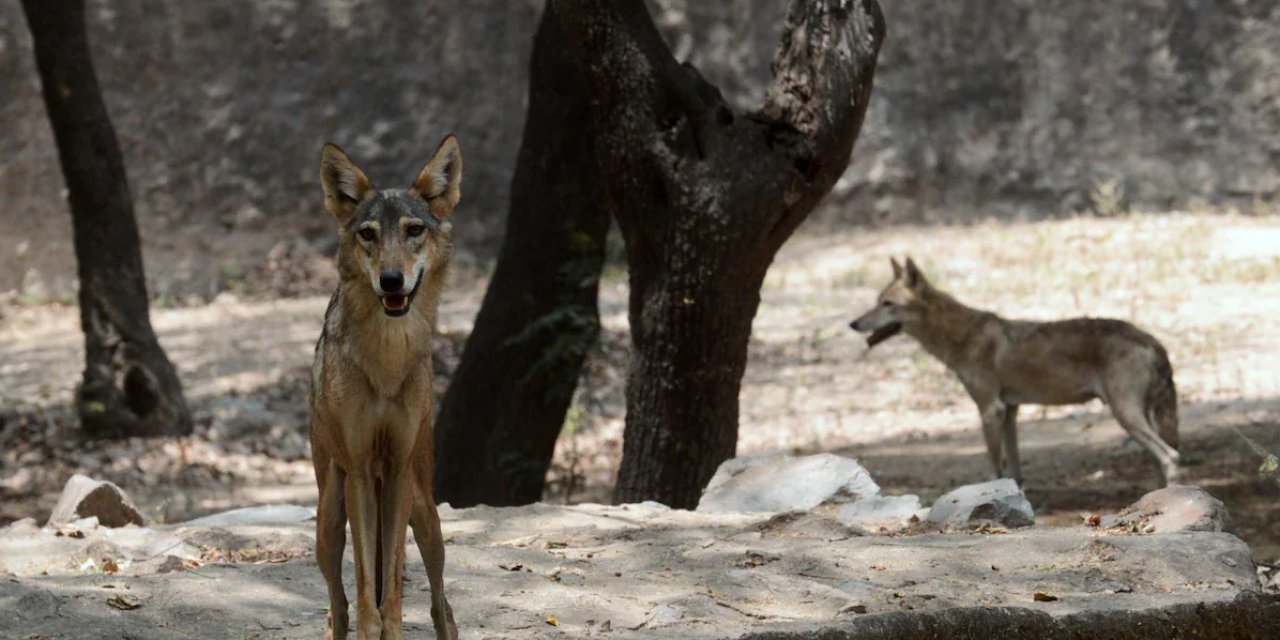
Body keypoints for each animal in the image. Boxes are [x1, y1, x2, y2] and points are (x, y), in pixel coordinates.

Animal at [308, 136, 460, 640]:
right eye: (368, 234)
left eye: (414, 231)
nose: (392, 281)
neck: (387, 361)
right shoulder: (358, 471)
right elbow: (364, 590)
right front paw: (371, 626)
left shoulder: (396, 470)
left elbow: (391, 584)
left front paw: (391, 626)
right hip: (328, 517)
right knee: (338, 605)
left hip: (425, 513)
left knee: (441, 605)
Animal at [849, 257, 1177, 486]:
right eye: (877, 302)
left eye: (887, 304)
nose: (853, 323)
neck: (962, 336)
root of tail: (1153, 341)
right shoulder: (1009, 411)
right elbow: (1014, 474)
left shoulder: (990, 410)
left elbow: (996, 468)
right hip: (1138, 419)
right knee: (1161, 461)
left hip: (1126, 416)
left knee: (1171, 457)